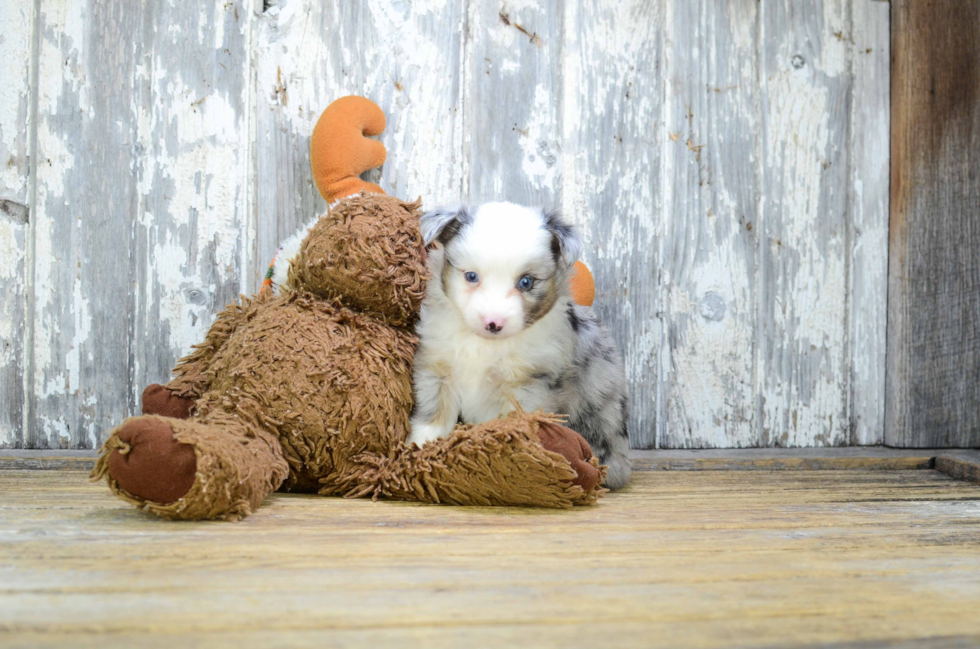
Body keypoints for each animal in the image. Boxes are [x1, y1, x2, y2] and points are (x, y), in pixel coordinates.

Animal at [408, 201, 632, 486]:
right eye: (471, 276)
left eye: (526, 282)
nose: (493, 323)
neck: (484, 344)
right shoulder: (437, 369)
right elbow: (434, 414)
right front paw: (420, 449)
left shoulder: (527, 385)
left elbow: (511, 427)